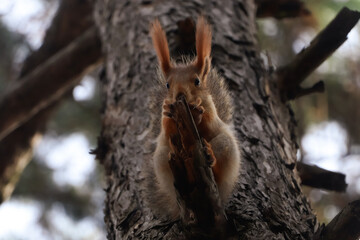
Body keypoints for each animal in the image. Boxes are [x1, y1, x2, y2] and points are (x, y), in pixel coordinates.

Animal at [149, 15, 242, 218]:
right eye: (168, 85)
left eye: (197, 81)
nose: (180, 96)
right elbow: (167, 128)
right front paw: (168, 111)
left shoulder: (211, 111)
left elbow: (208, 120)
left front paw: (198, 111)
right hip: (163, 157)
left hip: (224, 145)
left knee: (217, 169)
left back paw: (210, 156)